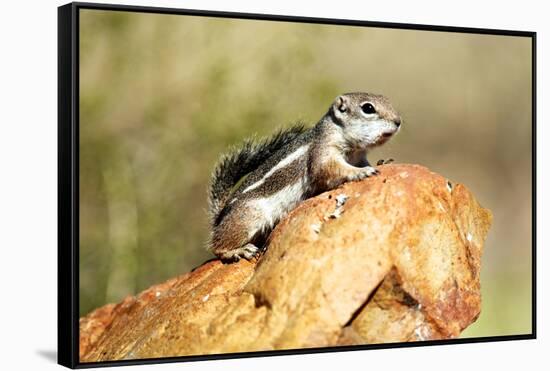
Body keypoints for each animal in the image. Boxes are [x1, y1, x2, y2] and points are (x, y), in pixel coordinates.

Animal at [206, 92, 402, 262]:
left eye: (386, 100)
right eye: (368, 108)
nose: (398, 121)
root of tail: (221, 217)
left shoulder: (359, 157)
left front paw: (381, 162)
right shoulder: (322, 153)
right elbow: (330, 170)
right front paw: (360, 172)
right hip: (249, 216)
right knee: (218, 246)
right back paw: (238, 251)